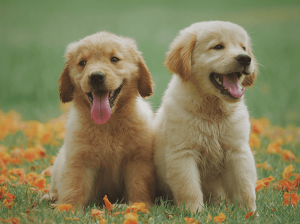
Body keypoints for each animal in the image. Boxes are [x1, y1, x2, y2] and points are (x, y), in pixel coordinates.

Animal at [155, 21, 258, 213]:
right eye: (217, 47)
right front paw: (194, 213)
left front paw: (249, 212)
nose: (245, 58)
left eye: (243, 47)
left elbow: (245, 185)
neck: (212, 112)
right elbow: (189, 187)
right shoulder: (183, 153)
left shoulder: (237, 150)